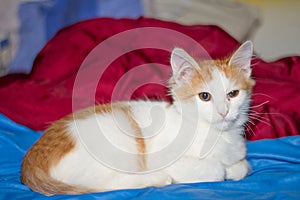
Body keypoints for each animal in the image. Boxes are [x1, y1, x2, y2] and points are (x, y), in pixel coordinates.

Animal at [21, 40, 255, 195]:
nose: (224, 111)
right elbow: (214, 169)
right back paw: (156, 179)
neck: (216, 135)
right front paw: (221, 169)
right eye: (204, 96)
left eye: (233, 94)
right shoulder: (164, 158)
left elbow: (242, 165)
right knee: (103, 186)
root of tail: (31, 159)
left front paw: (234, 167)